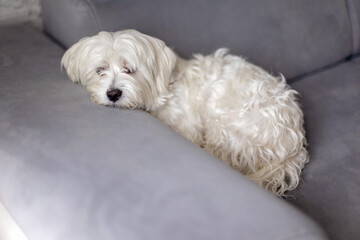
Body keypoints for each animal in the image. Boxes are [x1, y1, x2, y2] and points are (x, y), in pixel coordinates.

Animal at [61, 29, 306, 195]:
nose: (113, 94)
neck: (166, 87)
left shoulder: (189, 128)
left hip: (225, 128)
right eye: (100, 69)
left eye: (129, 69)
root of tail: (294, 145)